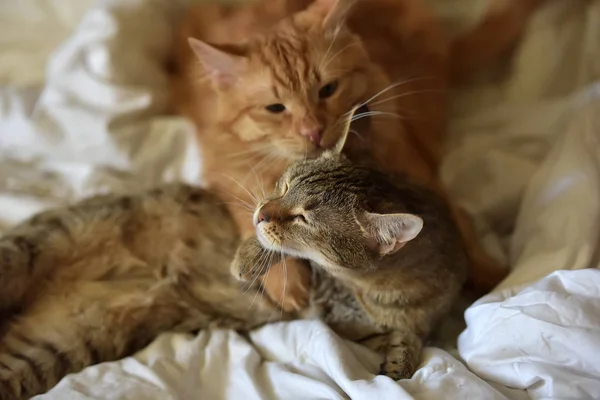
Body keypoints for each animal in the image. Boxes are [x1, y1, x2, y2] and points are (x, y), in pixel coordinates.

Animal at [169, 0, 544, 310]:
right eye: (275, 108)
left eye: (328, 90)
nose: (313, 131)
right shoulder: (227, 174)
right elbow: (253, 217)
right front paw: (283, 281)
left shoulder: (415, 169)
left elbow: (456, 222)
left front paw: (486, 274)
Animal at [231, 108, 468, 378]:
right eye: (286, 186)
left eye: (302, 218)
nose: (260, 214)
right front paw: (247, 257)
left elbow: (409, 338)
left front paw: (400, 364)